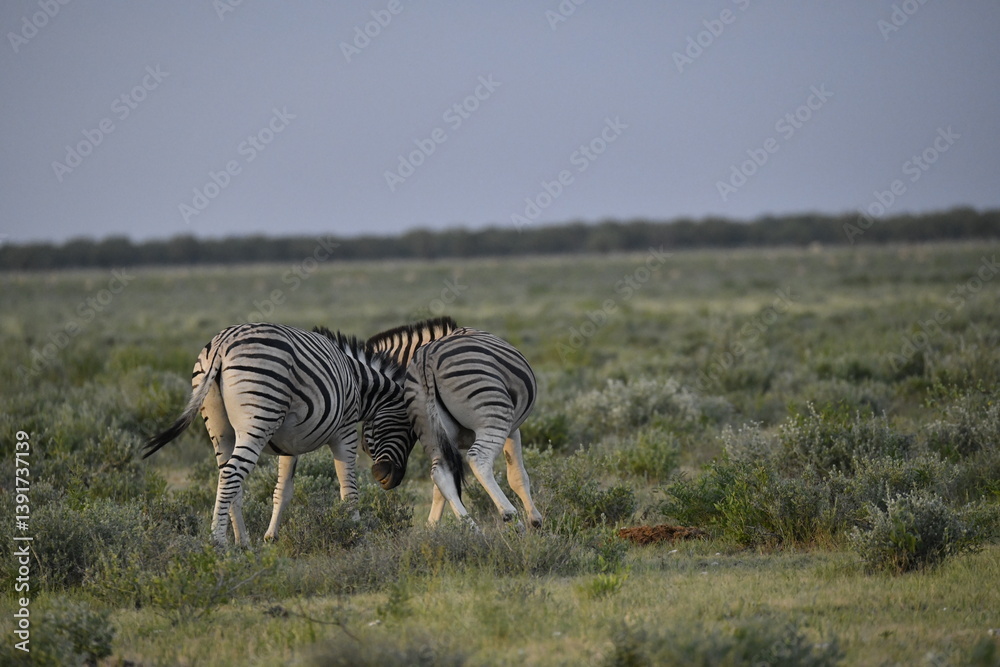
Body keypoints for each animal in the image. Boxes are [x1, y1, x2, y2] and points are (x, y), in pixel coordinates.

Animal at [143, 322, 413, 547]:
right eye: (410, 430)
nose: (391, 480)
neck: (359, 383)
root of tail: (222, 343)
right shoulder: (345, 431)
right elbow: (350, 490)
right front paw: (356, 535)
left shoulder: (289, 444)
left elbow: (282, 491)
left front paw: (271, 537)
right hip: (258, 420)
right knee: (231, 474)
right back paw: (218, 542)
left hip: (220, 430)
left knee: (229, 479)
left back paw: (243, 543)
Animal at [404, 327, 543, 530]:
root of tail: (426, 359)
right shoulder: (512, 430)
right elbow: (517, 476)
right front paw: (535, 519)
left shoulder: (449, 443)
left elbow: (442, 490)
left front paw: (432, 526)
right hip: (494, 415)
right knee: (479, 459)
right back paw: (511, 517)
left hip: (429, 430)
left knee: (439, 473)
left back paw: (471, 528)